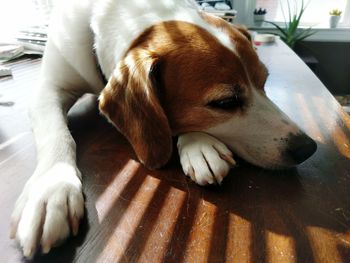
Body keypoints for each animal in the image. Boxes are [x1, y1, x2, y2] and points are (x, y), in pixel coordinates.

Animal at [10, 0, 318, 258]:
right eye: (226, 102)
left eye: (265, 82)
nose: (308, 148)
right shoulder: (48, 89)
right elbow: (56, 133)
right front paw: (52, 188)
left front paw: (197, 145)